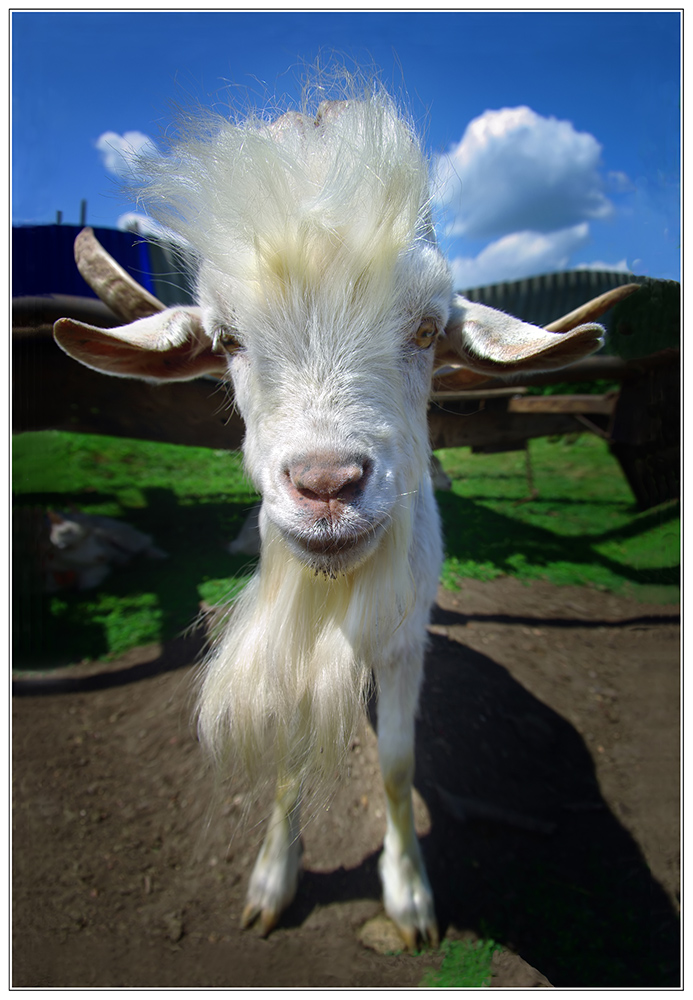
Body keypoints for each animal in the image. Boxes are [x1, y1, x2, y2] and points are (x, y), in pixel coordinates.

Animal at [52, 84, 612, 944]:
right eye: (228, 340)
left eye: (426, 331)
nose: (326, 484)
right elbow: (287, 763)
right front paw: (271, 881)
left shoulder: (405, 644)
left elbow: (396, 765)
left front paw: (408, 897)